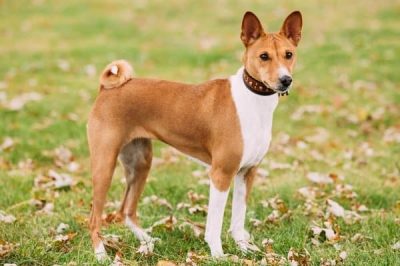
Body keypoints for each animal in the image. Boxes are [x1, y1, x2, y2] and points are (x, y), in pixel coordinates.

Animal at [86, 9, 300, 260]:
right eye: (264, 56)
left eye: (288, 54)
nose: (285, 80)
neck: (253, 101)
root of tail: (106, 89)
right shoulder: (221, 174)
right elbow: (215, 224)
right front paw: (218, 255)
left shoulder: (247, 173)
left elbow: (238, 220)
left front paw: (244, 249)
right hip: (105, 166)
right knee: (94, 217)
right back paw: (101, 254)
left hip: (140, 162)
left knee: (126, 211)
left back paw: (147, 241)